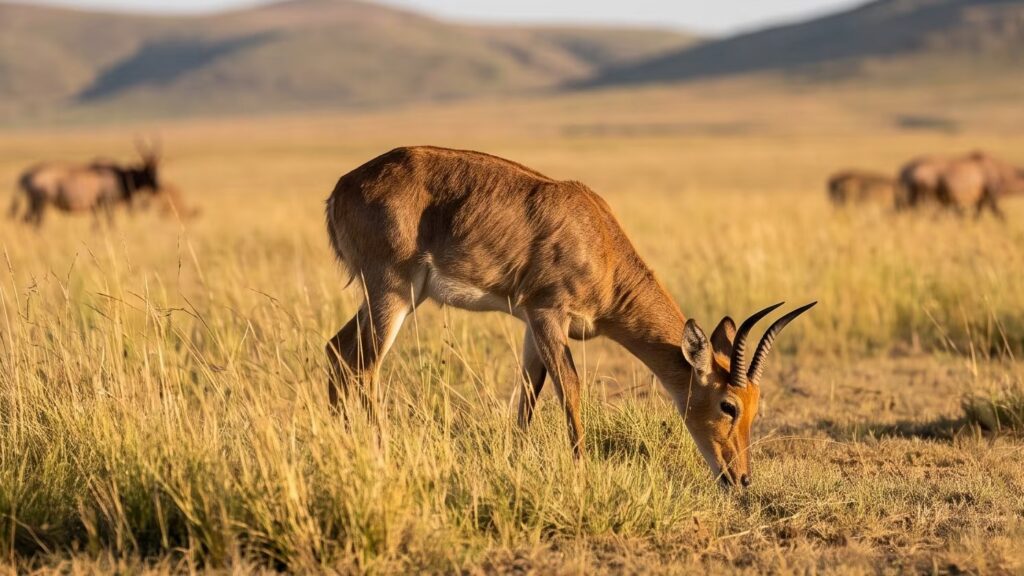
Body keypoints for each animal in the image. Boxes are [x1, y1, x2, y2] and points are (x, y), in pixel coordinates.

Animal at [324, 146, 815, 487]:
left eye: (756, 406)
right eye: (728, 405)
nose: (741, 478)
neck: (600, 244)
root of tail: (342, 187)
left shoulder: (529, 324)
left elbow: (528, 393)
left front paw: (515, 460)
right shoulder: (547, 314)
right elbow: (572, 390)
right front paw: (581, 472)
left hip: (390, 298)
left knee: (336, 351)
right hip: (393, 294)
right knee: (363, 366)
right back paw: (378, 450)